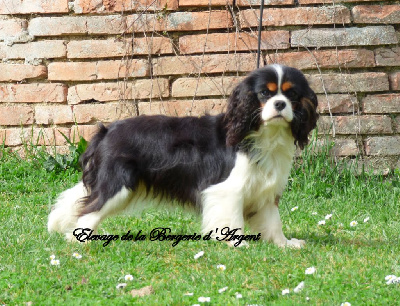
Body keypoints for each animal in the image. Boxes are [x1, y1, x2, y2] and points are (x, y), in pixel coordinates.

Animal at [48, 64, 318, 249]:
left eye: (292, 96)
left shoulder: (266, 191)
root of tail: (107, 131)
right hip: (118, 185)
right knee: (90, 208)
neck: (263, 134)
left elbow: (273, 221)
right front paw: (236, 244)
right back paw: (80, 240)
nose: (280, 104)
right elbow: (232, 220)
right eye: (264, 94)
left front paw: (285, 244)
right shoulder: (227, 190)